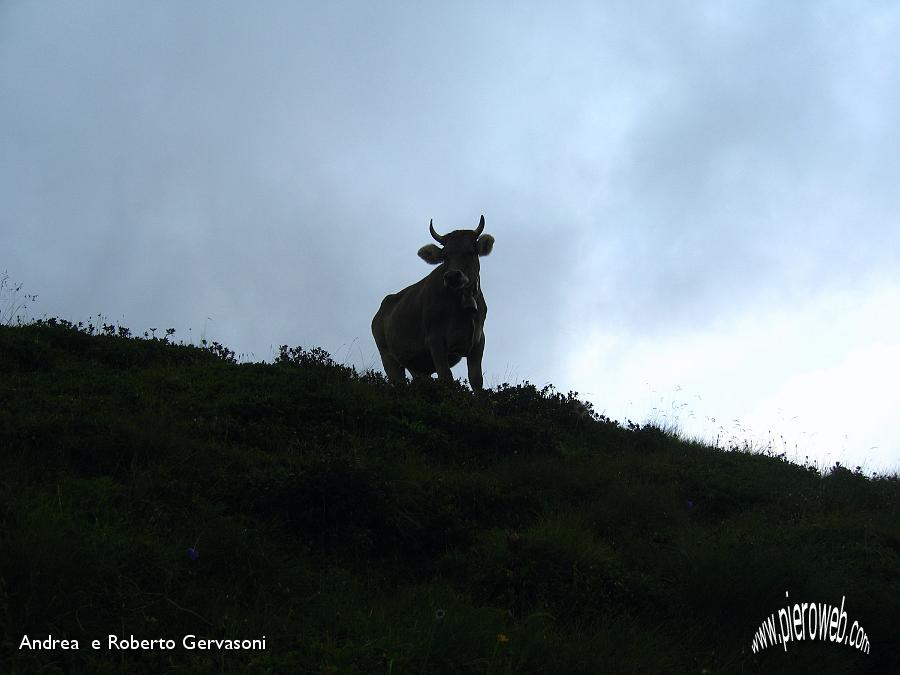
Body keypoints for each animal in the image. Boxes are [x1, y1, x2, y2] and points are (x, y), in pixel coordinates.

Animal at [372, 214, 496, 394]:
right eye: (445, 256)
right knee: (398, 381)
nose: (452, 276)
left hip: (417, 365)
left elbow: (476, 380)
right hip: (388, 356)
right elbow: (446, 378)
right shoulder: (435, 340)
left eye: (471, 251)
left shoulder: (478, 341)